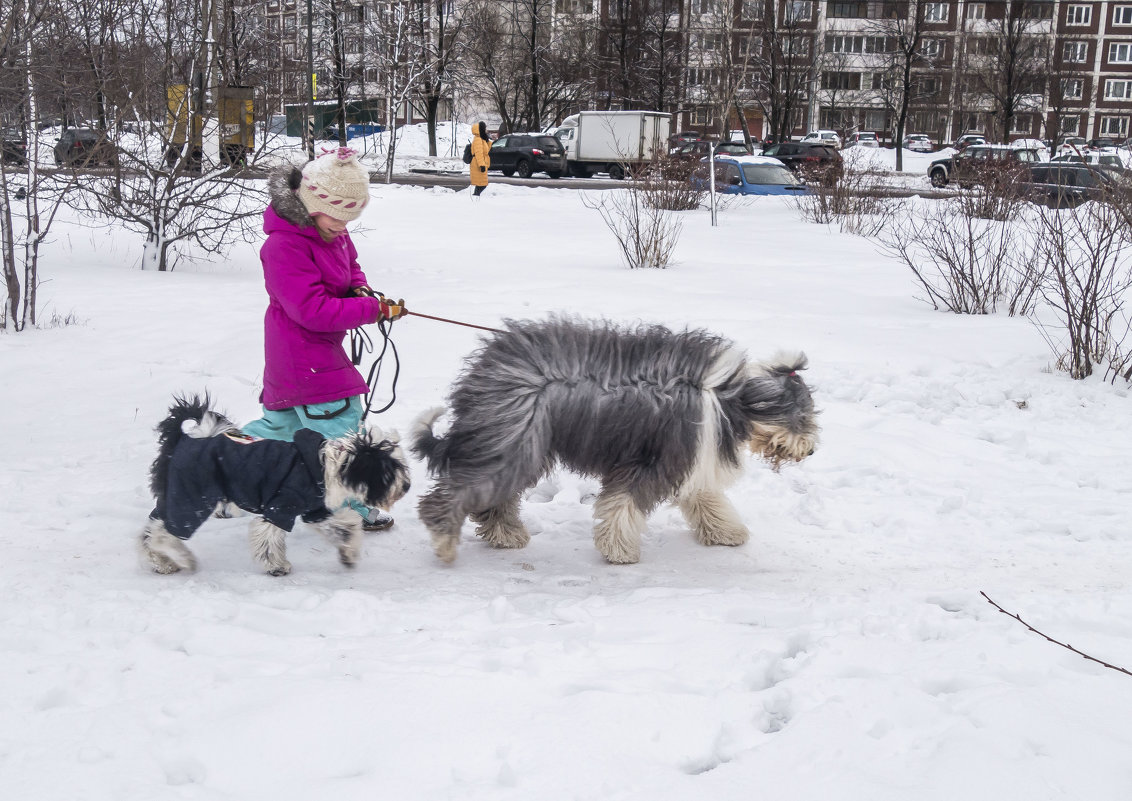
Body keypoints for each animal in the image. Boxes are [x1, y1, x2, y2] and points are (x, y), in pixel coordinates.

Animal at [139, 395, 409, 574]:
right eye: (389, 471)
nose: (406, 486)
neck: (326, 465)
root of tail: (181, 440)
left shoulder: (316, 511)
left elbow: (344, 527)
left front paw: (349, 554)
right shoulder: (279, 507)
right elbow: (268, 539)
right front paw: (277, 566)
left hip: (179, 495)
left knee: (152, 528)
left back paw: (161, 562)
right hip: (192, 497)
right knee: (164, 532)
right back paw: (181, 557)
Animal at [412, 316, 819, 565]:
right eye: (802, 415)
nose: (811, 449)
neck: (727, 396)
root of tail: (484, 373)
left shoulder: (692, 458)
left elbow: (705, 498)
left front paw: (727, 533)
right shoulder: (654, 461)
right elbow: (623, 504)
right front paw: (618, 550)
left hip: (514, 444)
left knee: (494, 496)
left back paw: (506, 535)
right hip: (512, 440)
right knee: (455, 493)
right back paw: (444, 539)